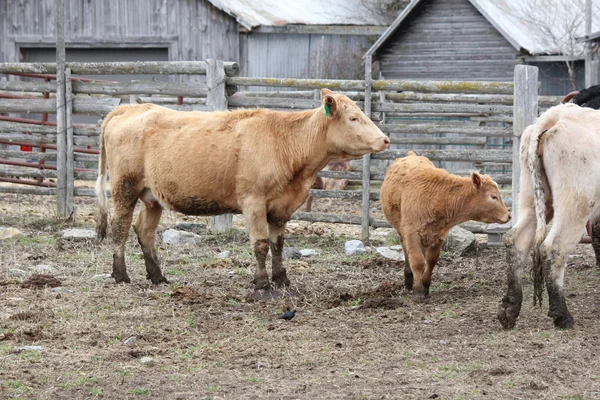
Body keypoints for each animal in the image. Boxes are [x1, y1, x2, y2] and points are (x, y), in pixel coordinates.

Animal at [95, 89, 390, 290]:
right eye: (354, 117)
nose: (385, 139)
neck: (287, 142)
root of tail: (129, 110)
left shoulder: (282, 207)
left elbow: (278, 244)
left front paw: (281, 279)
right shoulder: (253, 202)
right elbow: (260, 244)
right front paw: (262, 284)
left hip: (153, 197)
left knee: (144, 231)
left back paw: (157, 276)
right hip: (125, 187)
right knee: (120, 227)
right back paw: (120, 274)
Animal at [382, 152, 508, 300]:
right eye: (493, 196)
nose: (508, 215)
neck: (438, 196)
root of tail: (411, 155)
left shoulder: (439, 234)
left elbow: (431, 260)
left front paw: (425, 285)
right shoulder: (412, 233)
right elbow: (417, 261)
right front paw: (418, 290)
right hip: (403, 232)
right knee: (407, 254)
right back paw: (409, 280)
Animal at [500, 103, 600, 328]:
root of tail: (555, 115)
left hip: (533, 198)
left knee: (516, 240)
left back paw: (510, 308)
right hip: (575, 204)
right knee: (554, 248)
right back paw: (562, 315)